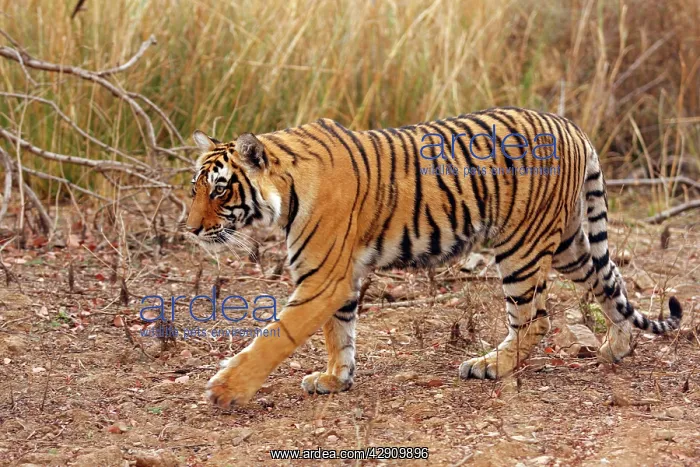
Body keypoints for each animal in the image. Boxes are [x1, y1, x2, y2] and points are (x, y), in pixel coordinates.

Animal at [185, 107, 683, 408]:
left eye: (220, 189)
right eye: (195, 189)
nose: (189, 229)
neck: (284, 192)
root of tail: (573, 127)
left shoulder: (323, 278)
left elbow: (278, 334)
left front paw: (226, 388)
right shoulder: (338, 278)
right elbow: (338, 334)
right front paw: (335, 379)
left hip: (521, 247)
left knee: (536, 319)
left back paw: (489, 366)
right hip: (568, 246)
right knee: (610, 284)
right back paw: (616, 347)